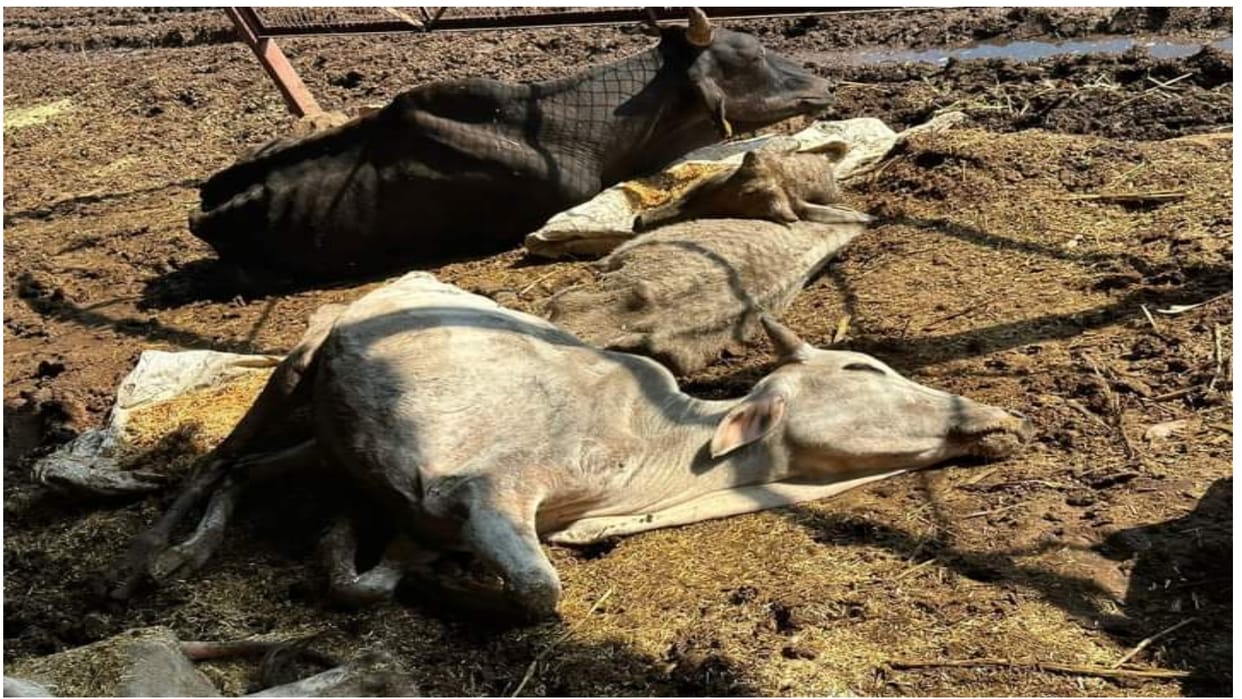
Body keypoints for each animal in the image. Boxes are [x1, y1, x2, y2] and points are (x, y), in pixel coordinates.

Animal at [114, 273, 1033, 622]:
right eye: (862, 366)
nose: (999, 415)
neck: (662, 459)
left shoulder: (411, 504)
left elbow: (364, 570)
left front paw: (371, 556)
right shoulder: (488, 494)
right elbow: (537, 590)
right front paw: (446, 585)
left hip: (321, 441)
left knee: (244, 469)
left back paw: (188, 551)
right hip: (291, 371)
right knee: (214, 457)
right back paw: (152, 558)